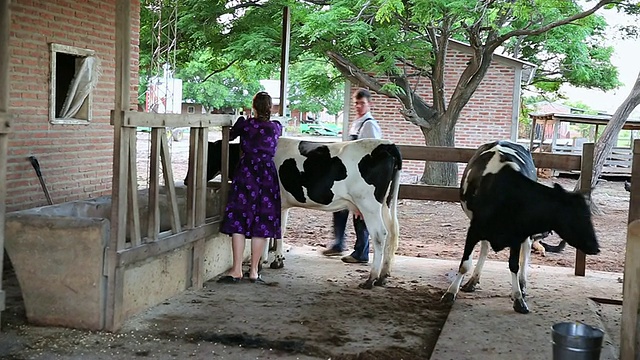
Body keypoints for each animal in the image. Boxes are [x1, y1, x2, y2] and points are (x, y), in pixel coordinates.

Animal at [440, 139, 600, 314]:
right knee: (485, 248)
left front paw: (518, 298)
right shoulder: (474, 229)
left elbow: (514, 265)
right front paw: (450, 293)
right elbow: (465, 264)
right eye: (577, 217)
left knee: (526, 250)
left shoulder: (517, 235)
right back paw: (473, 281)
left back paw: (522, 285)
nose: (596, 247)